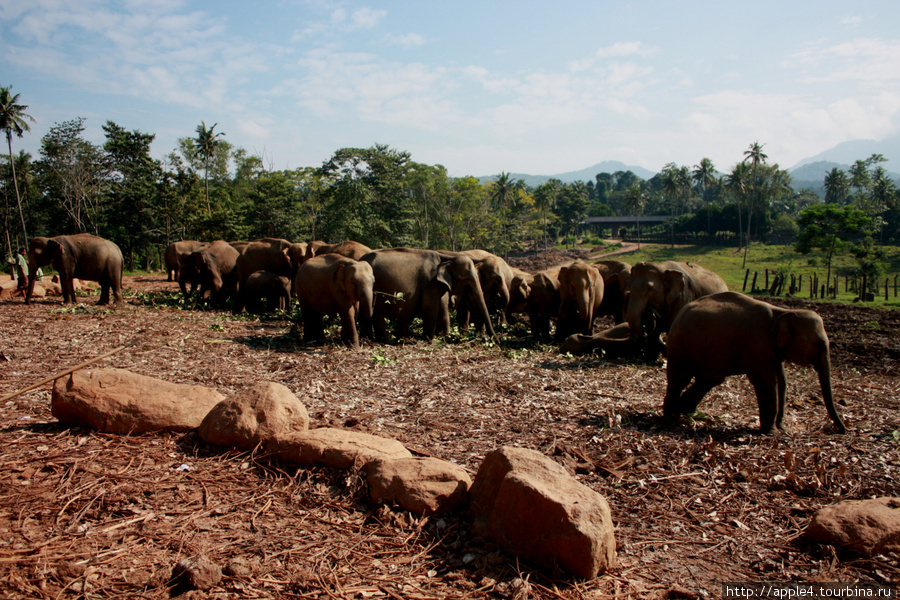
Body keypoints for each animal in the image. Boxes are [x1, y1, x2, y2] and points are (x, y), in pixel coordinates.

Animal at [360, 247, 500, 342]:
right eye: (468, 279)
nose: (496, 341)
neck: (446, 255)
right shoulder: (429, 283)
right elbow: (430, 308)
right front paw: (429, 340)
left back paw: (367, 339)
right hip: (376, 289)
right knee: (377, 314)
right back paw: (385, 340)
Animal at [660, 292, 844, 436]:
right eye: (819, 344)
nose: (841, 430)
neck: (784, 312)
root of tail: (680, 314)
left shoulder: (770, 349)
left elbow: (779, 378)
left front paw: (776, 428)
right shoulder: (758, 343)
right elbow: (766, 382)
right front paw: (771, 433)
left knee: (709, 380)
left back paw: (684, 411)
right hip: (679, 347)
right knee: (680, 378)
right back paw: (671, 418)